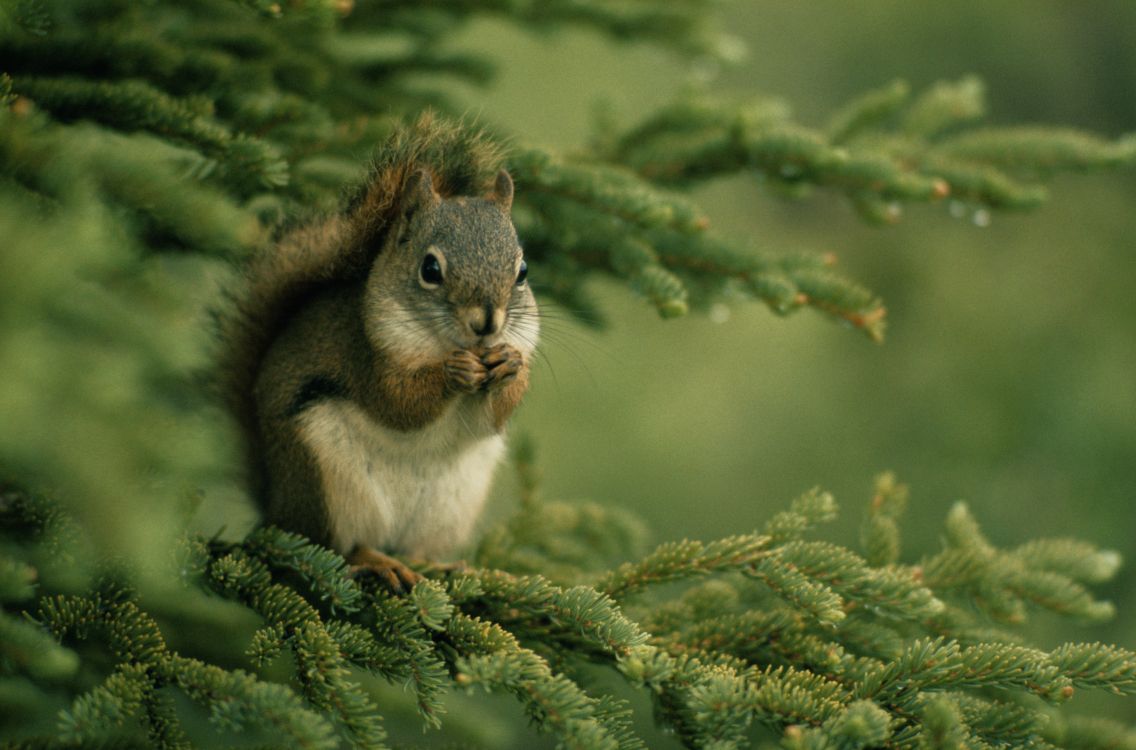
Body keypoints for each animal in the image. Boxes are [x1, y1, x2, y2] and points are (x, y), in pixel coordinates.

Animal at [217, 115, 539, 590]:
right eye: (430, 268)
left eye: (522, 271)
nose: (486, 324)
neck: (446, 342)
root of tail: (277, 508)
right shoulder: (364, 356)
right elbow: (397, 403)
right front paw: (452, 372)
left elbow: (492, 418)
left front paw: (511, 366)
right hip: (327, 482)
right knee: (337, 546)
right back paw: (376, 560)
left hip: (450, 506)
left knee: (415, 549)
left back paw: (441, 565)